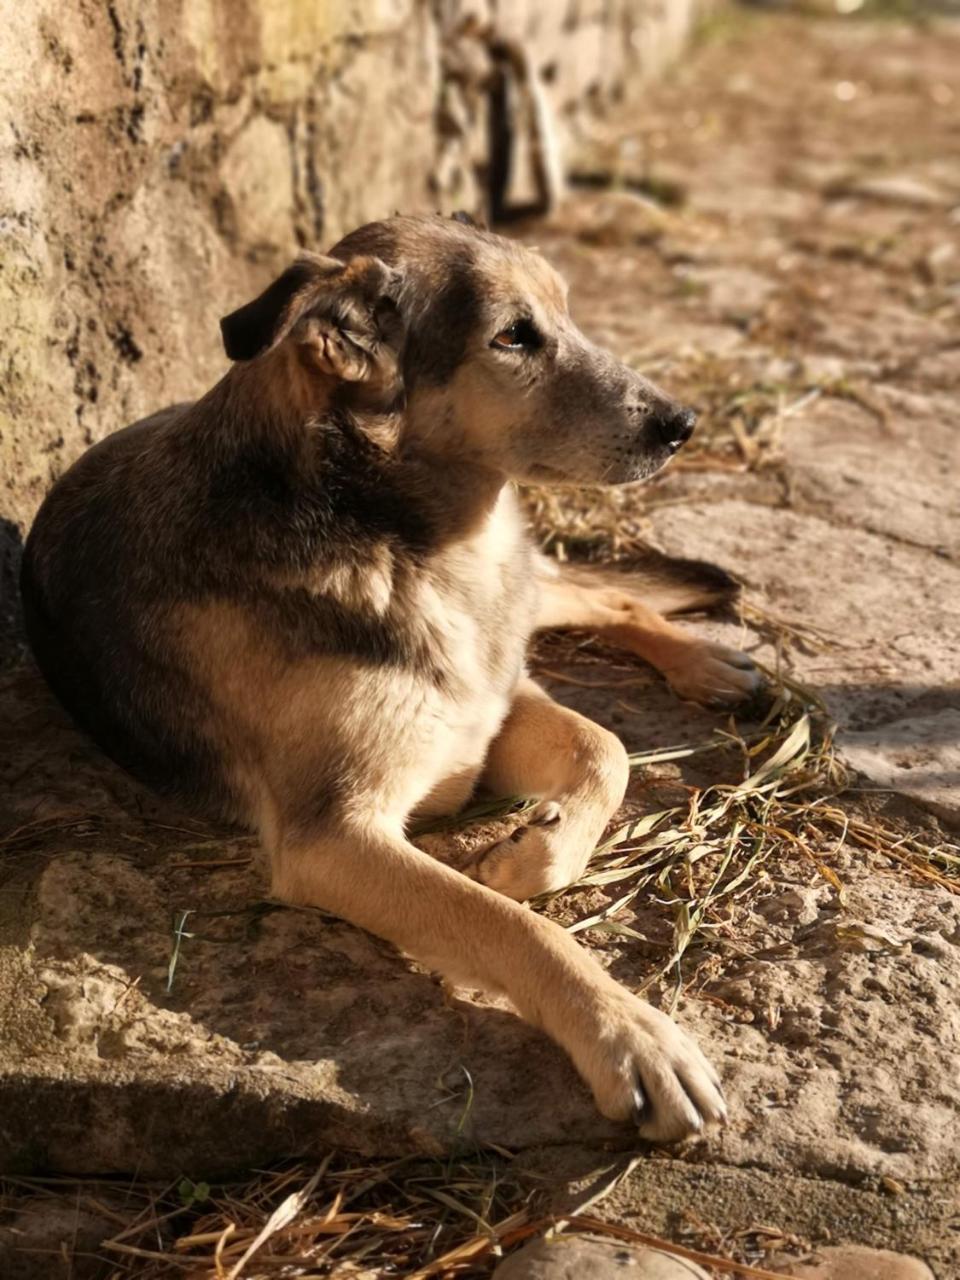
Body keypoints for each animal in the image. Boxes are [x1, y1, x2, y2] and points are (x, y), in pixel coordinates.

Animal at [18, 215, 762, 1146]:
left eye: (565, 311)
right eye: (513, 337)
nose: (681, 423)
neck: (393, 539)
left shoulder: (488, 706)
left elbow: (606, 749)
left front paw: (536, 854)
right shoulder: (336, 833)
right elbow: (506, 921)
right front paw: (631, 1035)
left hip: (532, 593)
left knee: (605, 592)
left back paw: (709, 662)